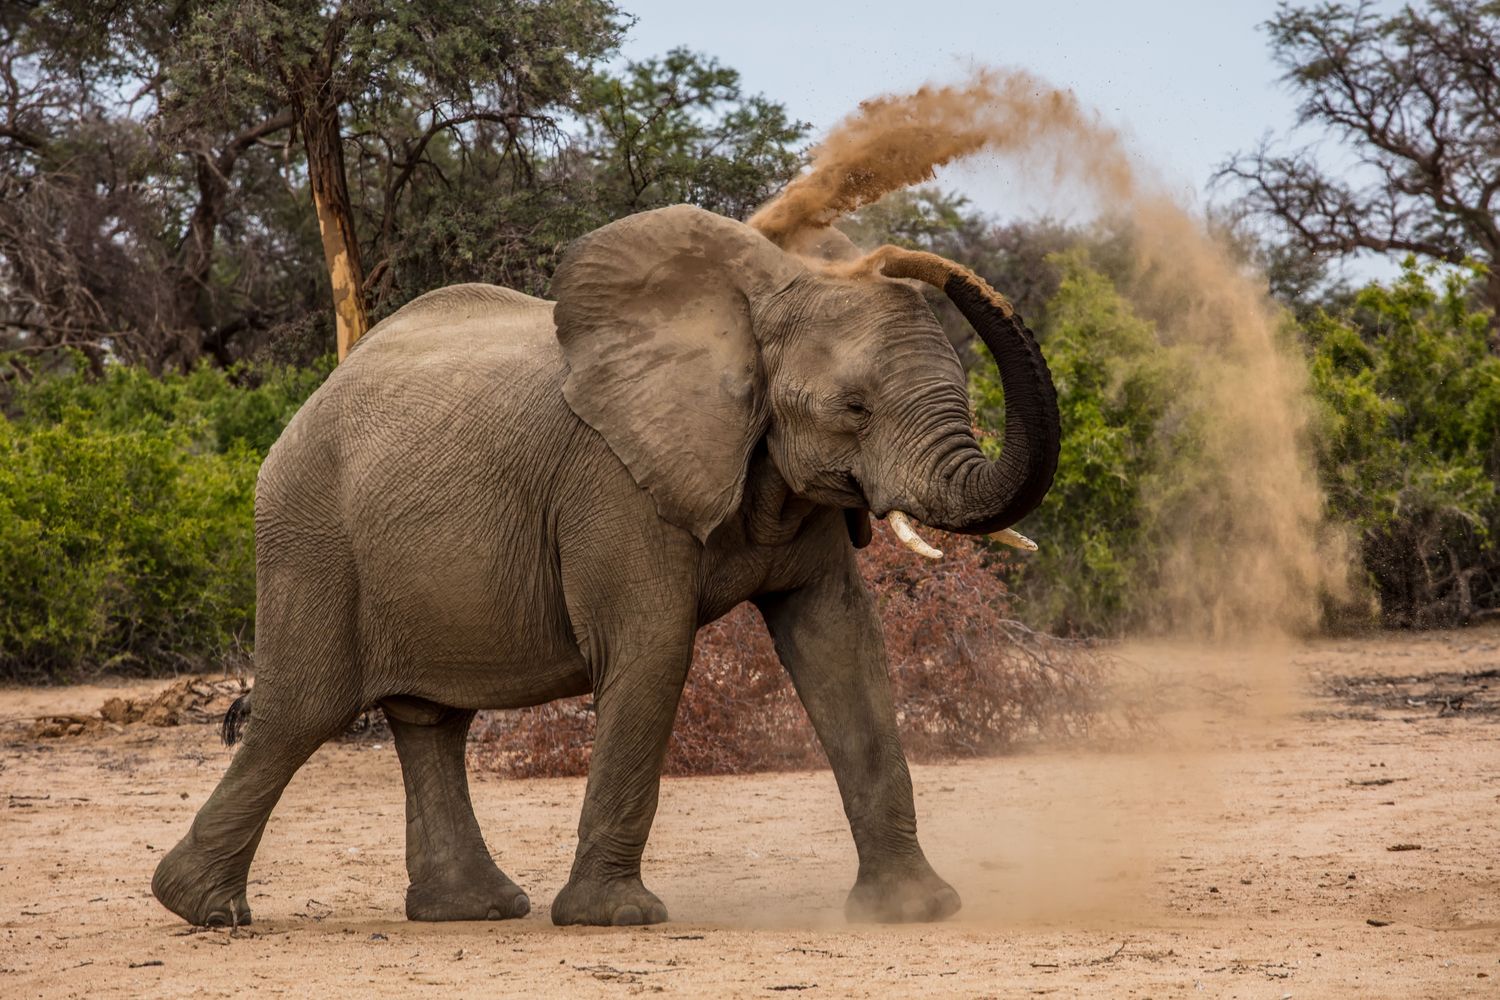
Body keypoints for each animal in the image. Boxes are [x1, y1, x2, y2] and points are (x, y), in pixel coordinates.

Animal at [152, 200, 1062, 929]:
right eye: (855, 408)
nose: (898, 256)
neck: (754, 301)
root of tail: (312, 399)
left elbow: (843, 647)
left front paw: (916, 910)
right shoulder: (614, 482)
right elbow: (653, 650)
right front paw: (617, 919)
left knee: (430, 722)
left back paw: (474, 910)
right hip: (310, 535)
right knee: (300, 713)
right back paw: (203, 910)